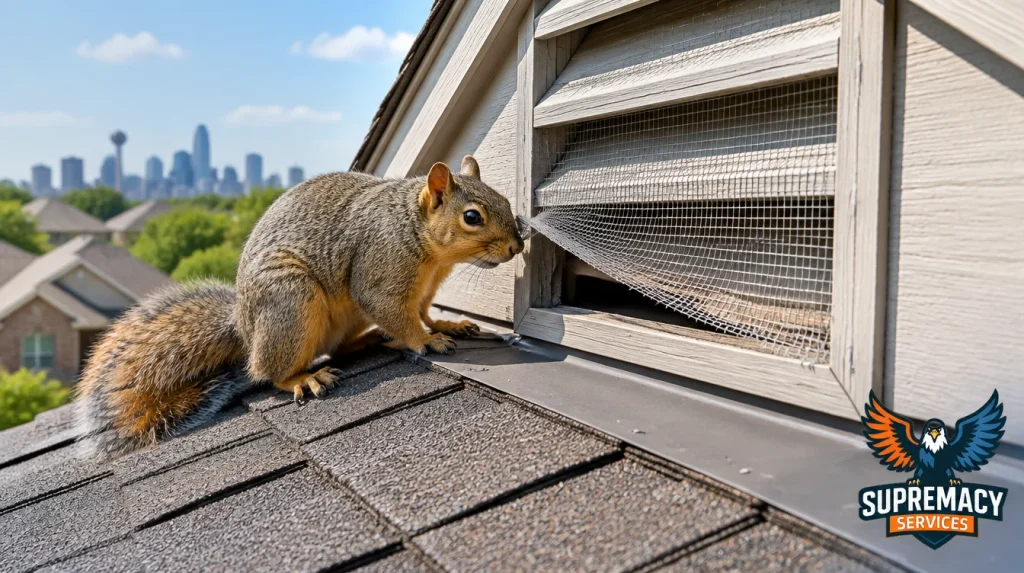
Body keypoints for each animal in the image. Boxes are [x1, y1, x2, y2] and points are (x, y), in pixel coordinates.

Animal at [75, 156, 524, 457]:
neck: (424, 242)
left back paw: (367, 340)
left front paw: (448, 326)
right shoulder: (380, 269)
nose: (517, 247)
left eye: (505, 199)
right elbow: (395, 311)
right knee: (268, 371)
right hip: (291, 301)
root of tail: (244, 327)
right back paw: (302, 379)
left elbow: (427, 311)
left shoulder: (427, 288)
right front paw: (425, 340)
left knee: (336, 347)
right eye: (472, 217)